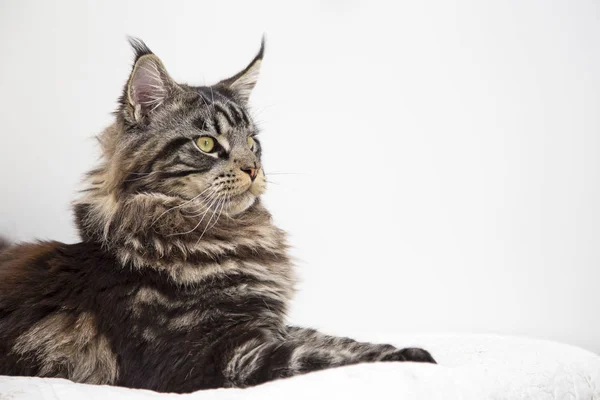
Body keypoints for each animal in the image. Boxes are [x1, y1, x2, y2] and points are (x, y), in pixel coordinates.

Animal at [0, 39, 436, 392]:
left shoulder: (266, 325)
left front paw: (402, 349)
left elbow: (333, 340)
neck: (224, 234)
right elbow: (312, 356)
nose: (254, 169)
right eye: (207, 143)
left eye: (253, 142)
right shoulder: (206, 357)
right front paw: (413, 358)